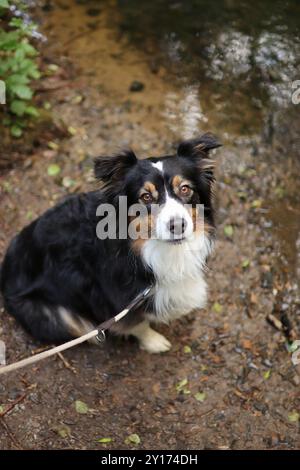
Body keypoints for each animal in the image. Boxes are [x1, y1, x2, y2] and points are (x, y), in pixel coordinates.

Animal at [0, 132, 220, 352]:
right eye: (146, 197)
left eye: (185, 189)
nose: (178, 225)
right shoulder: (116, 301)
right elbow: (137, 324)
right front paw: (154, 342)